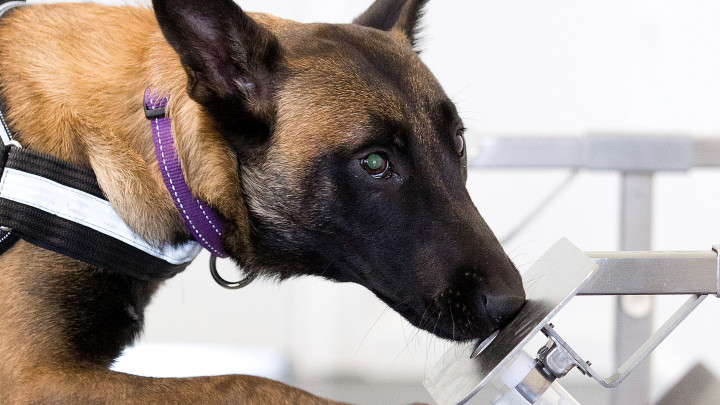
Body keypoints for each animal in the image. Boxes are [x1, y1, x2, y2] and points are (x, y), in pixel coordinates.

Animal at [0, 0, 528, 400]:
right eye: (375, 163)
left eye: (457, 142)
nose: (513, 305)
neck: (155, 138)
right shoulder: (33, 378)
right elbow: (247, 382)